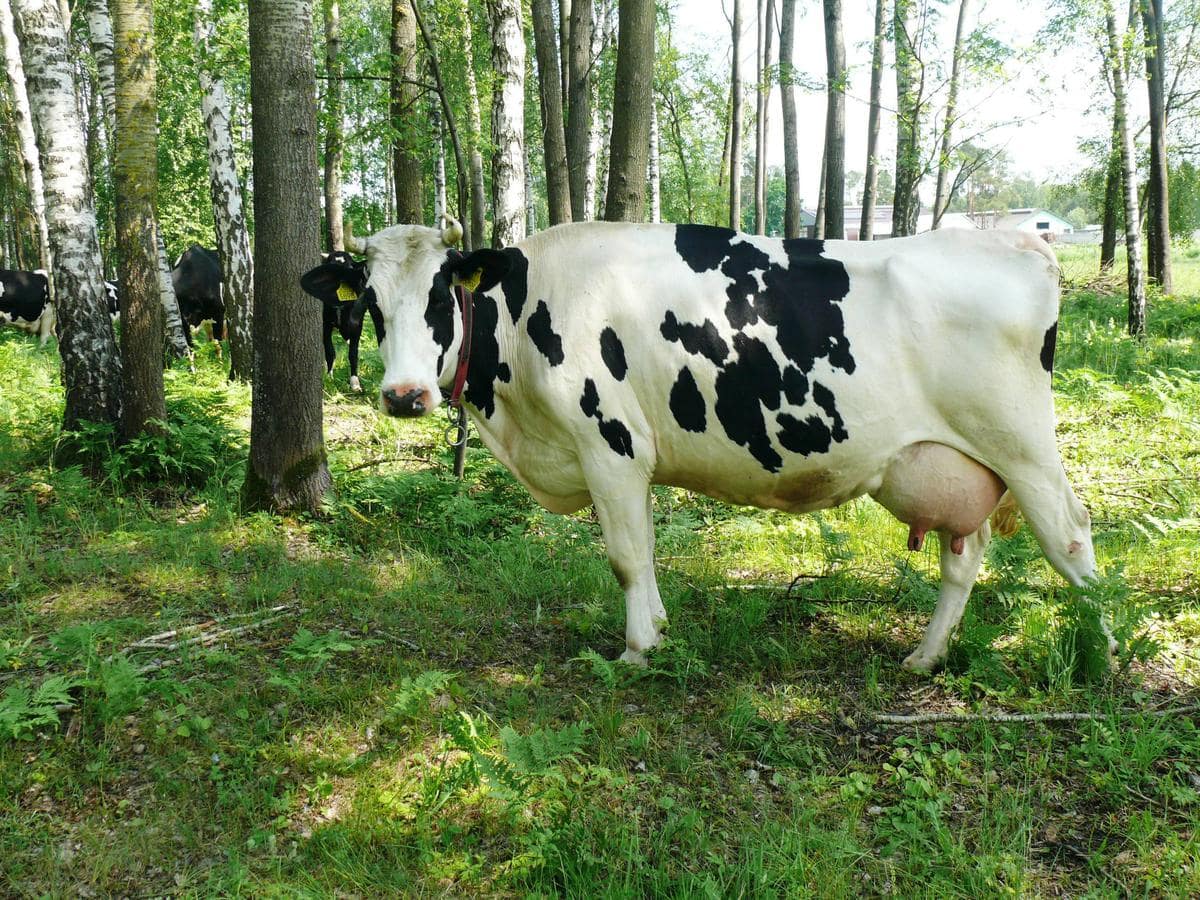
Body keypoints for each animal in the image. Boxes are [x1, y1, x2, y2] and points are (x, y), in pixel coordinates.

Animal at [298, 254, 386, 393]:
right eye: (329, 264)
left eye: (350, 266)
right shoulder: (326, 325)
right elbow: (330, 352)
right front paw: (329, 377)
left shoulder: (357, 325)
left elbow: (353, 353)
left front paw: (355, 382)